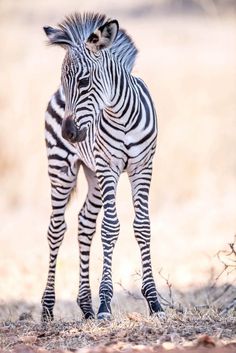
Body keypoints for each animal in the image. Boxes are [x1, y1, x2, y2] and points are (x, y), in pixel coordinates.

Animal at [41, 11, 163, 320]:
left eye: (84, 82)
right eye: (65, 80)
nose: (69, 134)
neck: (122, 115)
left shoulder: (143, 166)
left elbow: (142, 226)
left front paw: (154, 302)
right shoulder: (109, 166)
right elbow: (110, 227)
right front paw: (105, 304)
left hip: (93, 174)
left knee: (85, 223)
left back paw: (86, 306)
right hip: (61, 167)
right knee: (56, 229)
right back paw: (48, 308)